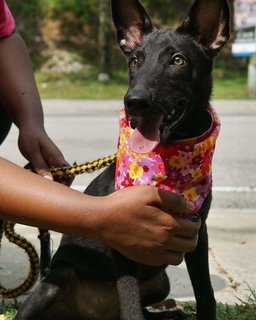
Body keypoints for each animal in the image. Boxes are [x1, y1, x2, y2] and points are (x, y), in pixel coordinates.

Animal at [17, 1, 231, 318]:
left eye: (178, 60)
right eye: (134, 61)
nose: (134, 101)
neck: (171, 163)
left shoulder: (197, 232)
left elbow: (206, 293)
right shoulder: (125, 236)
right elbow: (131, 306)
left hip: (161, 281)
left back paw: (170, 313)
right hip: (58, 278)